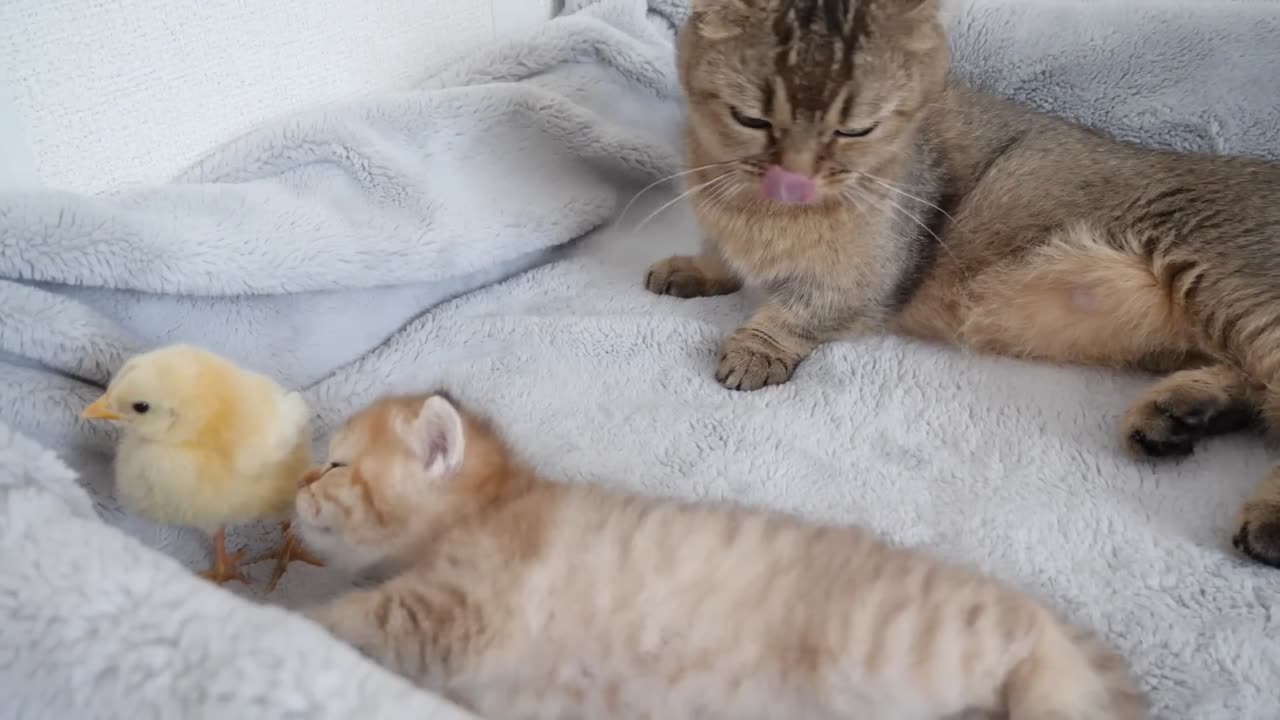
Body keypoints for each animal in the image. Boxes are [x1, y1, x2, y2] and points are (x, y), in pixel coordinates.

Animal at [299, 392, 1152, 717]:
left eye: (336, 463)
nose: (298, 481)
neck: (493, 507)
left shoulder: (462, 609)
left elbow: (360, 616)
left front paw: (298, 615)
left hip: (925, 637)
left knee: (1038, 656)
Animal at [645, 0, 1280, 566]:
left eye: (855, 130)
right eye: (750, 119)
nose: (793, 178)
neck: (758, 211)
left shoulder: (869, 276)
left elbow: (794, 312)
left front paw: (755, 348)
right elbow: (721, 255)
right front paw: (694, 269)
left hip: (1231, 290)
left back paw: (1264, 516)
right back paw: (1177, 416)